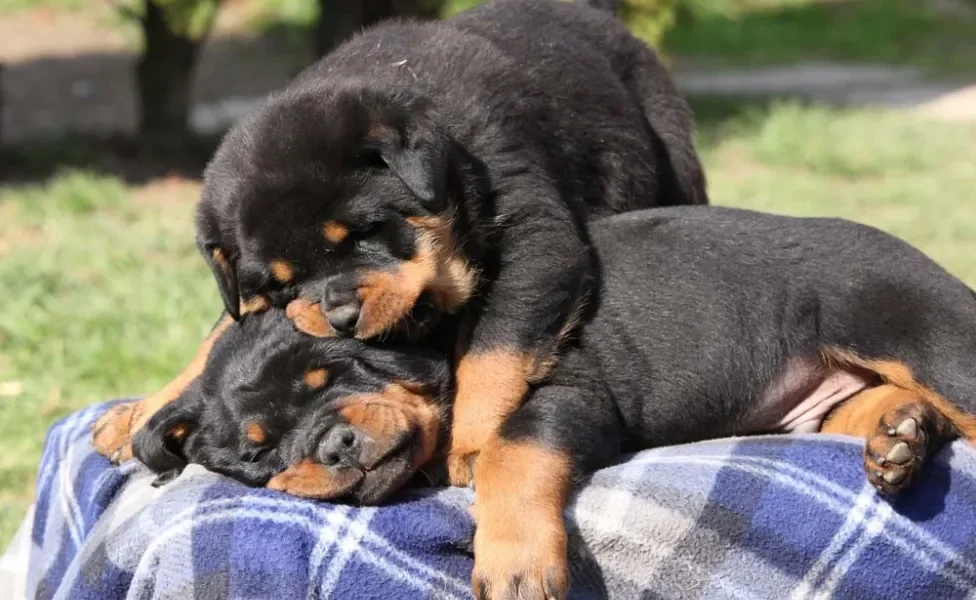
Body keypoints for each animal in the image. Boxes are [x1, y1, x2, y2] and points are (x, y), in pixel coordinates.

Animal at [130, 206, 976, 600]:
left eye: (336, 378)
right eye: (259, 449)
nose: (333, 445)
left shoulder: (567, 392)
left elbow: (508, 453)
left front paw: (514, 562)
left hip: (919, 330)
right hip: (827, 394)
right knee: (869, 408)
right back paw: (899, 437)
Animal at [193, 0, 708, 482]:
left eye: (364, 233)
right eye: (281, 286)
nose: (341, 318)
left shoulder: (534, 239)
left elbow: (491, 353)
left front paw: (470, 445)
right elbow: (219, 331)